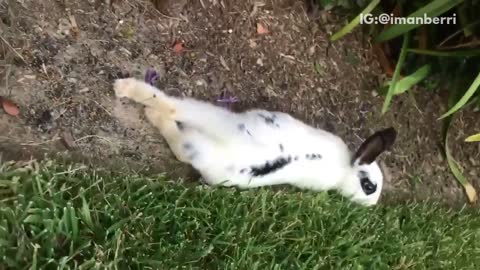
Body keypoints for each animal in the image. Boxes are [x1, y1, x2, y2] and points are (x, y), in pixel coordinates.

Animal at [113, 77, 398, 206]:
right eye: (369, 186)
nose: (372, 205)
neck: (343, 169)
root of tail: (231, 142)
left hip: (208, 132)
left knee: (175, 116)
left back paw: (137, 100)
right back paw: (128, 92)